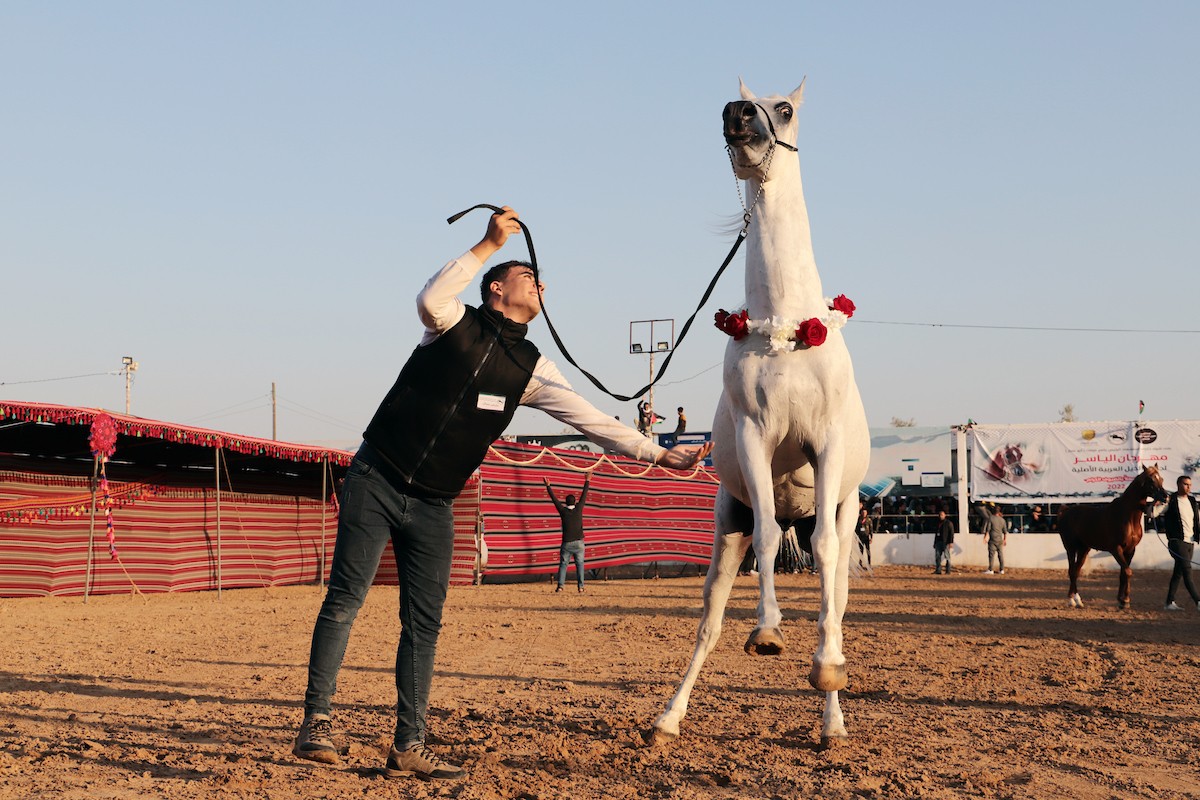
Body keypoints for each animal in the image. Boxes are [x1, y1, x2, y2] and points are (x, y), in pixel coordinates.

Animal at [652, 79, 868, 743]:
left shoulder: (825, 446)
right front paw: (768, 631)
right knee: (710, 622)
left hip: (846, 512)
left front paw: (826, 669)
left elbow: (822, 552)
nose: (737, 114)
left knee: (833, 587)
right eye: (744, 104)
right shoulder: (755, 438)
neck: (785, 330)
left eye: (786, 109)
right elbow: (771, 536)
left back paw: (833, 720)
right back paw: (667, 717)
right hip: (728, 525)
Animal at [1056, 462, 1166, 606]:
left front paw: (1121, 599)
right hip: (1071, 548)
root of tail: (1065, 511)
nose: (1165, 496)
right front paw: (1125, 600)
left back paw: (1078, 600)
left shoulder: (1130, 550)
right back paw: (1071, 600)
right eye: (1151, 480)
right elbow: (1128, 571)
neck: (1127, 516)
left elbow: (1123, 573)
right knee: (1072, 572)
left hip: (1083, 549)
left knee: (1076, 571)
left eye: (1161, 479)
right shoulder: (1116, 549)